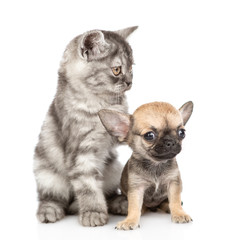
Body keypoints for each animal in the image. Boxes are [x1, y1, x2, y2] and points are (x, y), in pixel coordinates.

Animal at [33, 26, 138, 227]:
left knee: (109, 192)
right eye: (117, 70)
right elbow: (88, 186)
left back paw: (120, 202)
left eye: (131, 69)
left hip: (113, 168)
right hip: (46, 173)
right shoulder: (80, 152)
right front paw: (93, 212)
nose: (130, 82)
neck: (99, 102)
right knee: (53, 197)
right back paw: (51, 210)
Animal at [98, 100, 193, 230]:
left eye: (182, 133)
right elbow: (134, 207)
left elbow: (175, 200)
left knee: (165, 203)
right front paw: (130, 220)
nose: (171, 141)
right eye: (149, 135)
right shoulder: (137, 188)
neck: (156, 164)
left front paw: (179, 213)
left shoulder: (173, 183)